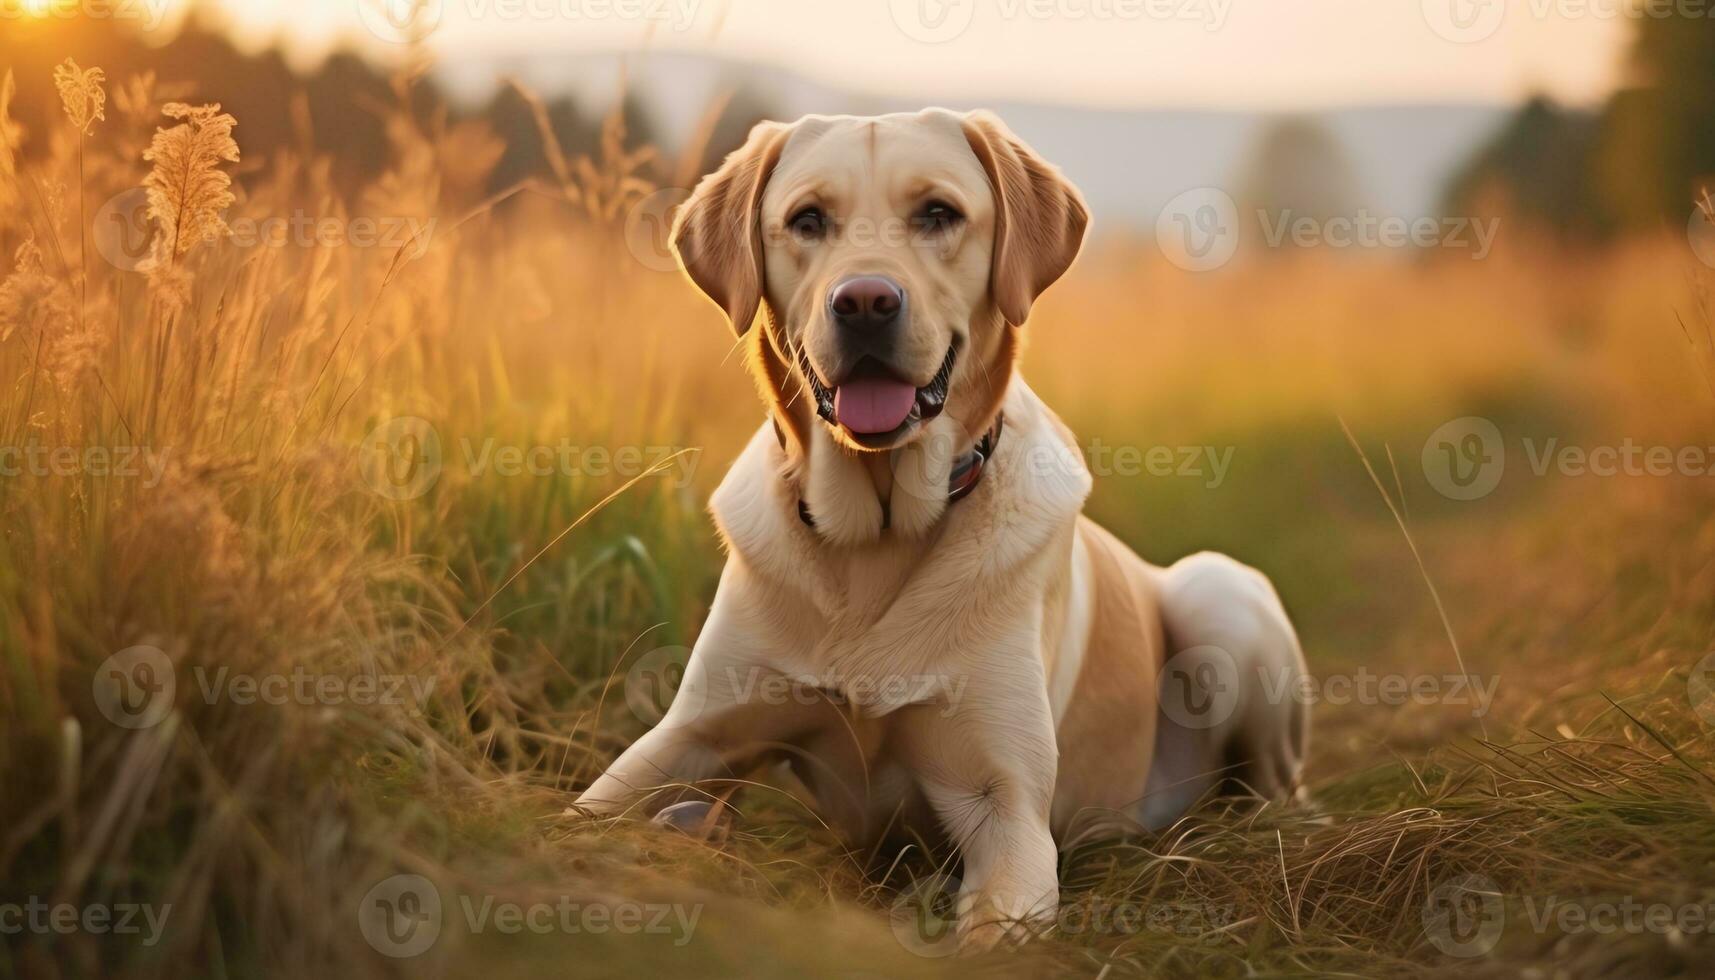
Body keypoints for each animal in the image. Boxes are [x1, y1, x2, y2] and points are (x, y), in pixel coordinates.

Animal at [579, 107, 1310, 954]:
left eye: (937, 214)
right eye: (807, 219)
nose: (865, 301)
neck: (875, 537)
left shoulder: (1006, 807)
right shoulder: (684, 738)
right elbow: (579, 815)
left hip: (1217, 595)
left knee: (1278, 787)